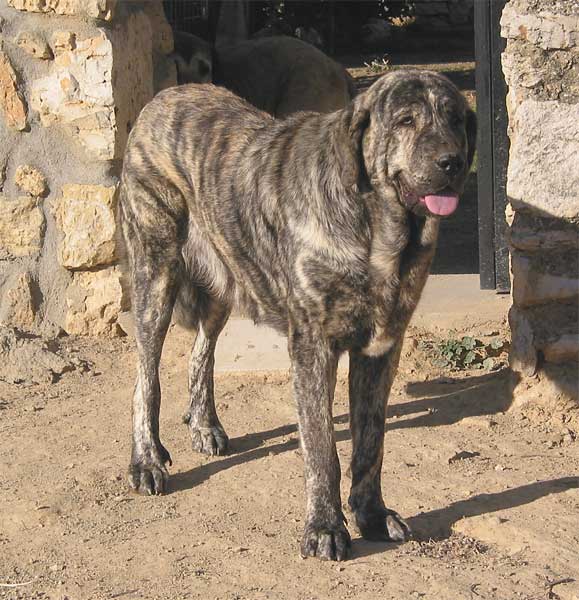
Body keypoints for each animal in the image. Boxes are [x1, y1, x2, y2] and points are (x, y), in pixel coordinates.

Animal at [118, 71, 476, 564]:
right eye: (405, 121)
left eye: (457, 119)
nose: (452, 163)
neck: (376, 229)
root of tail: (164, 97)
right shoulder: (313, 347)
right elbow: (323, 447)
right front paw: (325, 527)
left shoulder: (382, 347)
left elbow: (371, 443)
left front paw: (371, 516)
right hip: (156, 275)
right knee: (145, 376)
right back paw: (147, 459)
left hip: (227, 279)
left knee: (201, 352)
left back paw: (205, 424)